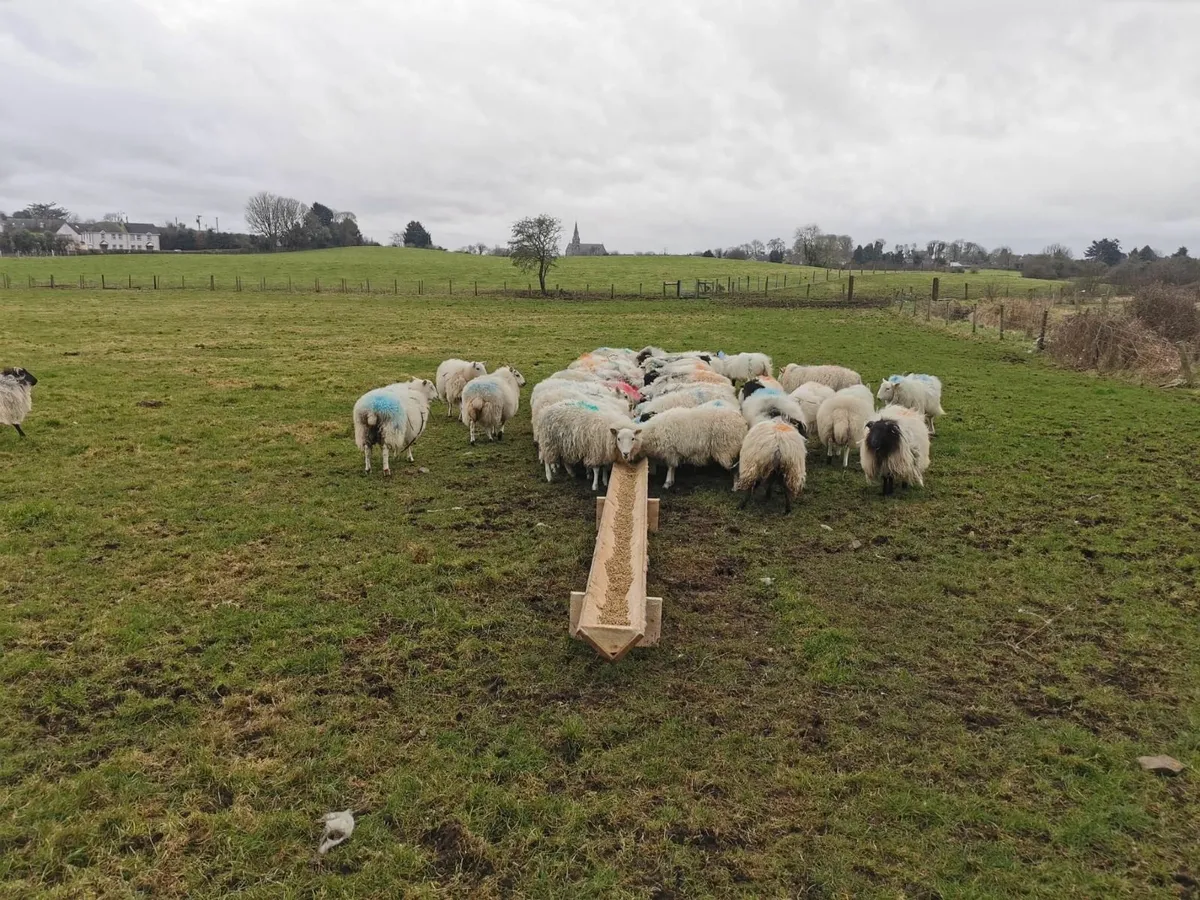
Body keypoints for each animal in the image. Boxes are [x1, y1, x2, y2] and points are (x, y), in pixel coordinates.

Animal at [611, 403, 747, 490]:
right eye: (618, 439)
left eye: (632, 439)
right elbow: (673, 468)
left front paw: (667, 483)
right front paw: (670, 481)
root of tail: (742, 421)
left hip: (727, 449)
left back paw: (735, 487)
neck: (653, 432)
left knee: (736, 468)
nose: (625, 454)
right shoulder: (673, 452)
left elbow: (670, 467)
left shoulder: (670, 451)